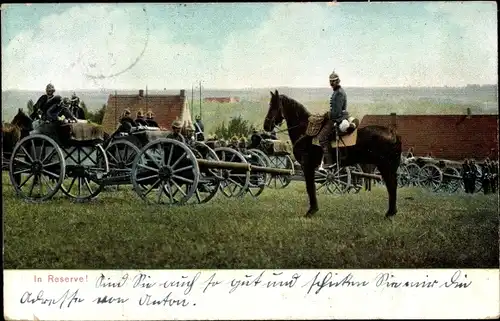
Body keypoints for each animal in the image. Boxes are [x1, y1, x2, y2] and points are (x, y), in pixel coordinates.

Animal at [264, 91, 400, 219]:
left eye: (273, 106)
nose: (266, 126)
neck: (305, 131)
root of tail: (392, 133)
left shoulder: (307, 165)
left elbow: (310, 187)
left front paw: (311, 211)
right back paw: (391, 212)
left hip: (384, 165)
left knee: (391, 185)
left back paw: (390, 213)